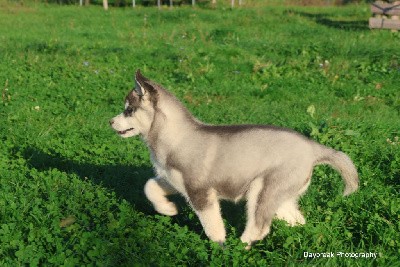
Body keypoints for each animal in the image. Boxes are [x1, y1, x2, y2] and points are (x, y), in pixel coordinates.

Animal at [110, 70, 360, 248]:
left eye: (129, 110)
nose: (110, 122)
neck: (175, 136)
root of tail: (312, 148)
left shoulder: (200, 192)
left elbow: (212, 226)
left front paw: (220, 247)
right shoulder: (172, 180)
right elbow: (149, 186)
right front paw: (167, 209)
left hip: (261, 190)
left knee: (259, 227)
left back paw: (240, 247)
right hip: (281, 195)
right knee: (297, 219)